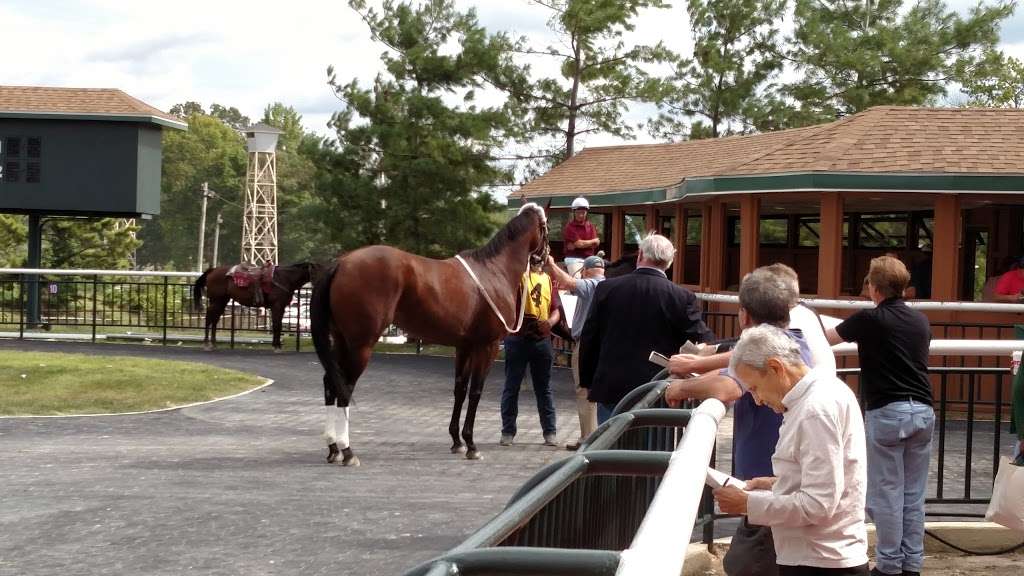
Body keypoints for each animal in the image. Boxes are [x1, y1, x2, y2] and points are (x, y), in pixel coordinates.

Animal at [309, 201, 548, 461]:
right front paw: (471, 445)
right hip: (361, 346)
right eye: (545, 228)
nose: (545, 257)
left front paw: (457, 442)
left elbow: (460, 389)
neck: (493, 271)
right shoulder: (487, 346)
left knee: (331, 384)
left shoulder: (464, 346)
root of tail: (341, 263)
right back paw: (348, 451)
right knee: (345, 389)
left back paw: (333, 448)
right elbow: (475, 391)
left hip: (342, 341)